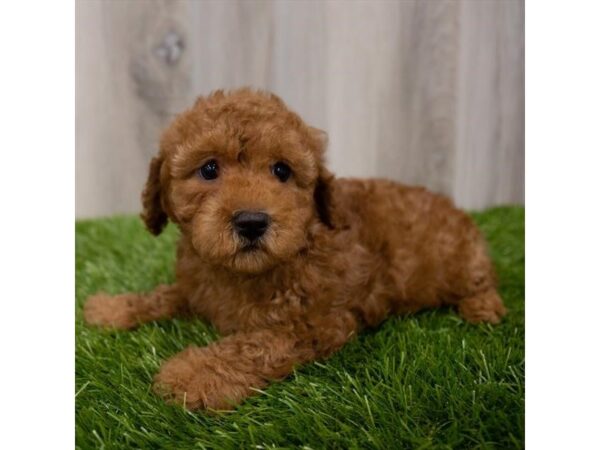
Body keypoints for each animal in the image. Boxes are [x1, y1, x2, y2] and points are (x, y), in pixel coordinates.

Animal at [84, 88, 506, 412]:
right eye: (209, 169)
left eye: (282, 171)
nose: (251, 222)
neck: (240, 273)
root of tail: (454, 207)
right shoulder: (195, 288)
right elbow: (163, 296)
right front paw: (113, 307)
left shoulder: (313, 324)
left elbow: (253, 345)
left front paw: (195, 374)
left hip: (461, 260)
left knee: (482, 280)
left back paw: (484, 307)